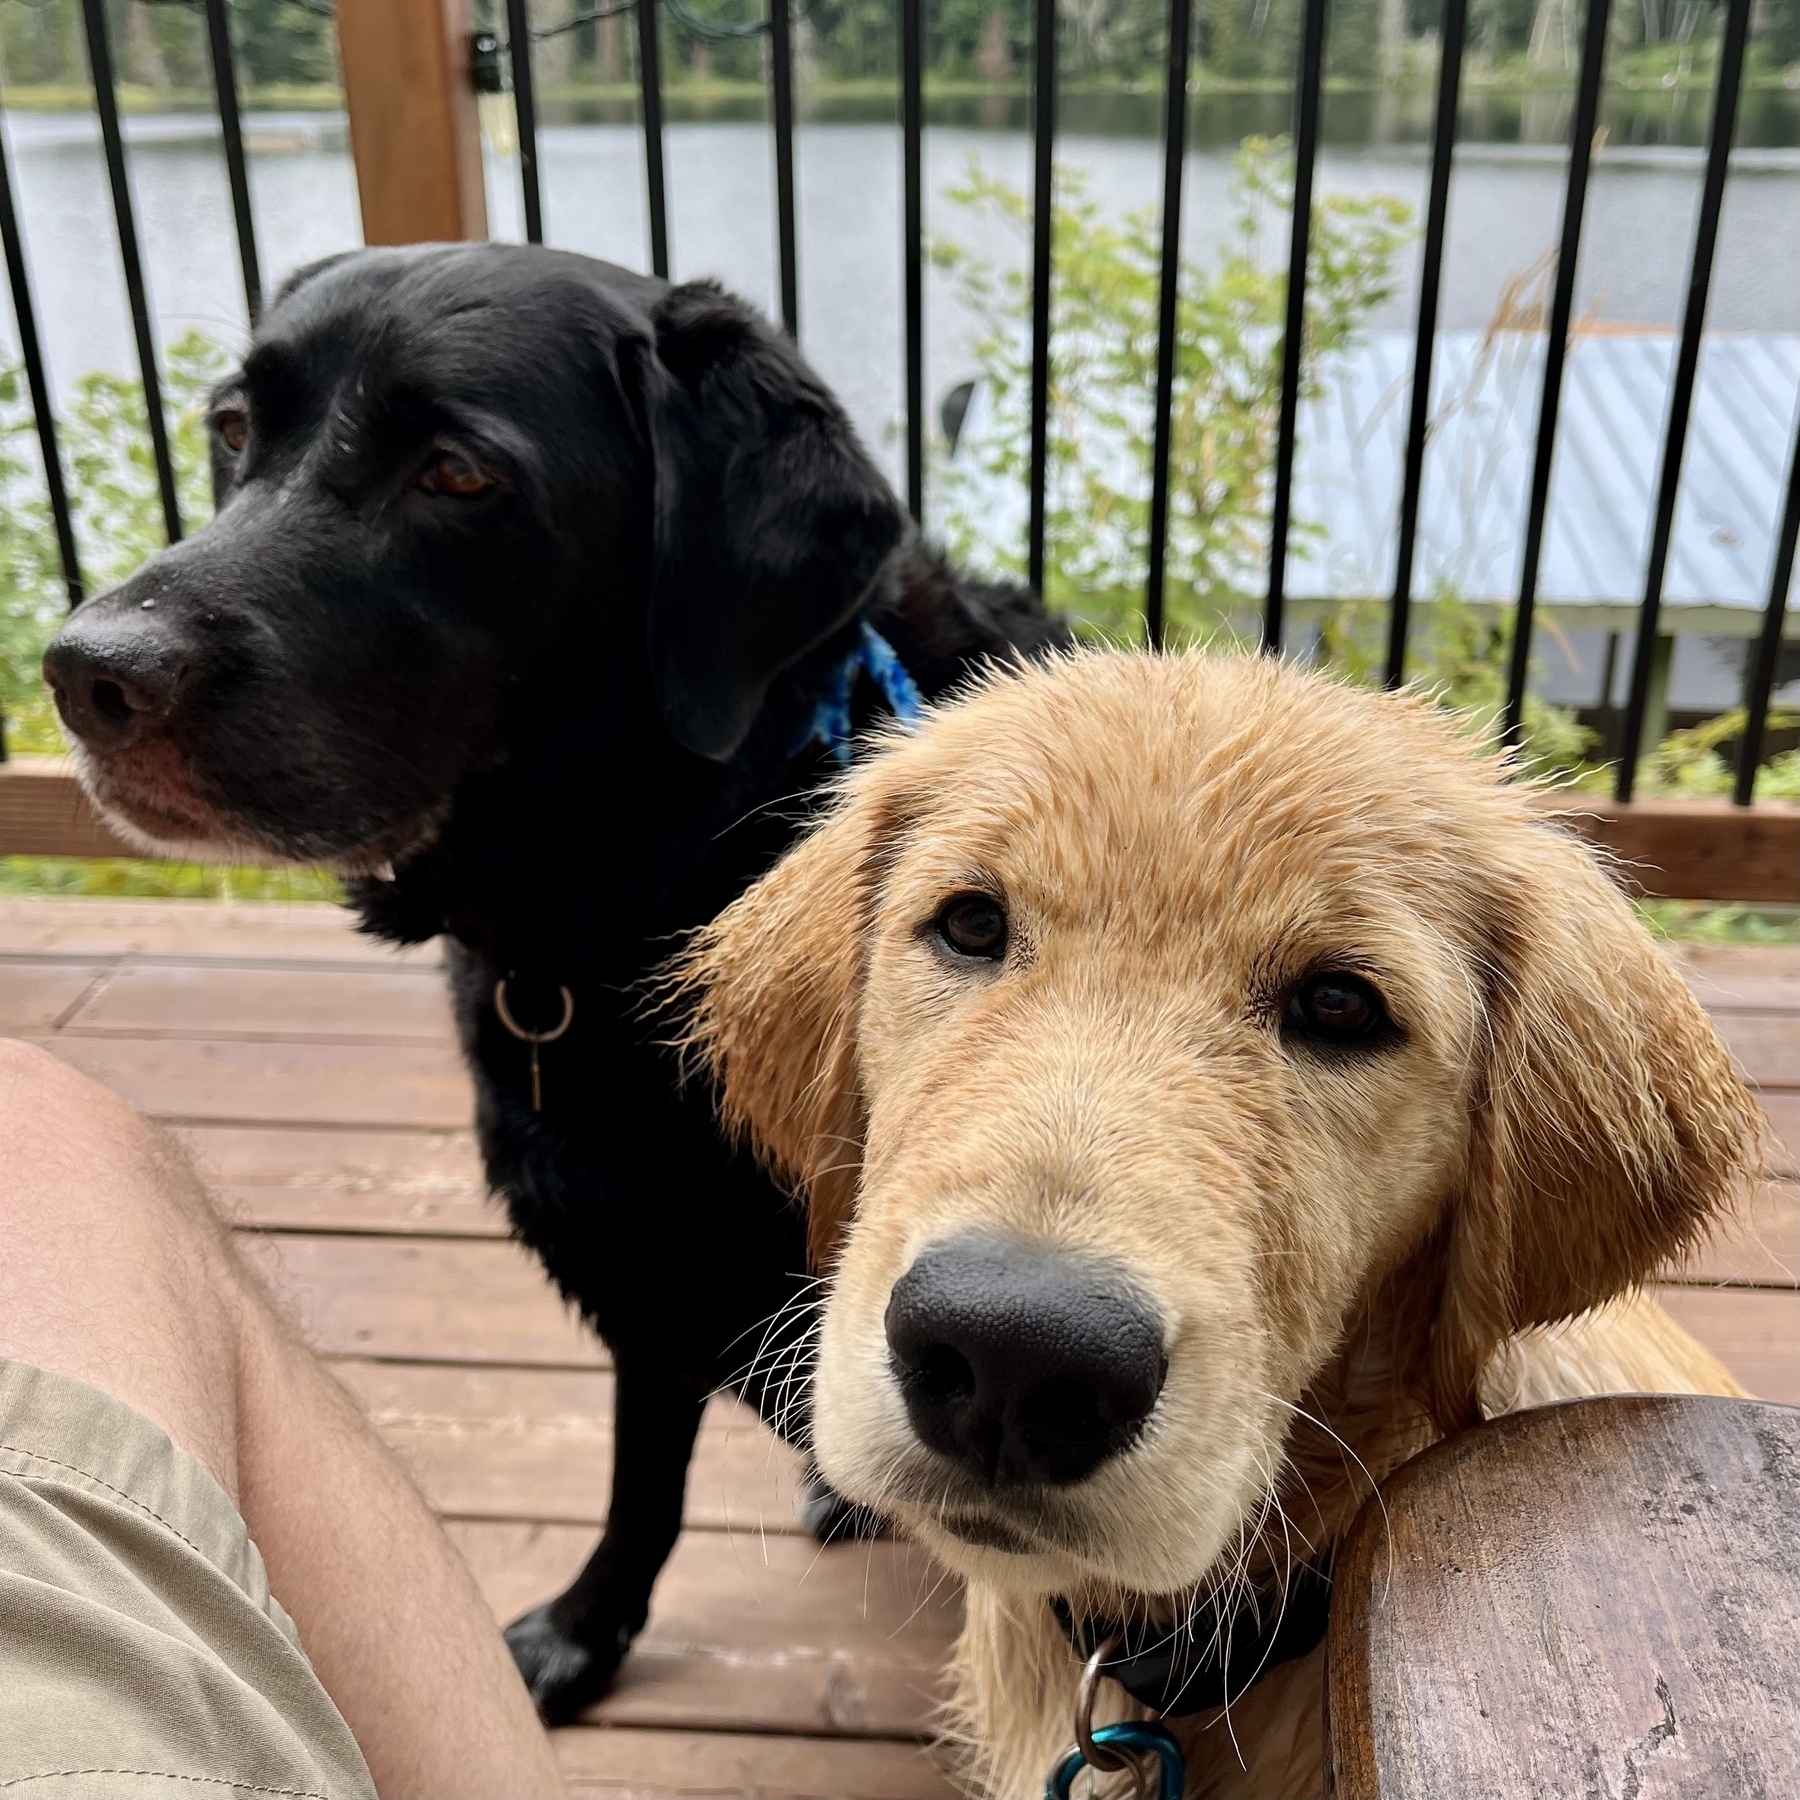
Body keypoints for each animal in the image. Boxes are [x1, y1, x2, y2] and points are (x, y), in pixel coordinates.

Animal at [42, 246, 1065, 1720]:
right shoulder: (640, 1272)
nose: (86, 672)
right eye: (234, 428)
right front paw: (589, 1630)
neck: (636, 897)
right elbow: (641, 1487)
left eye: (459, 476)